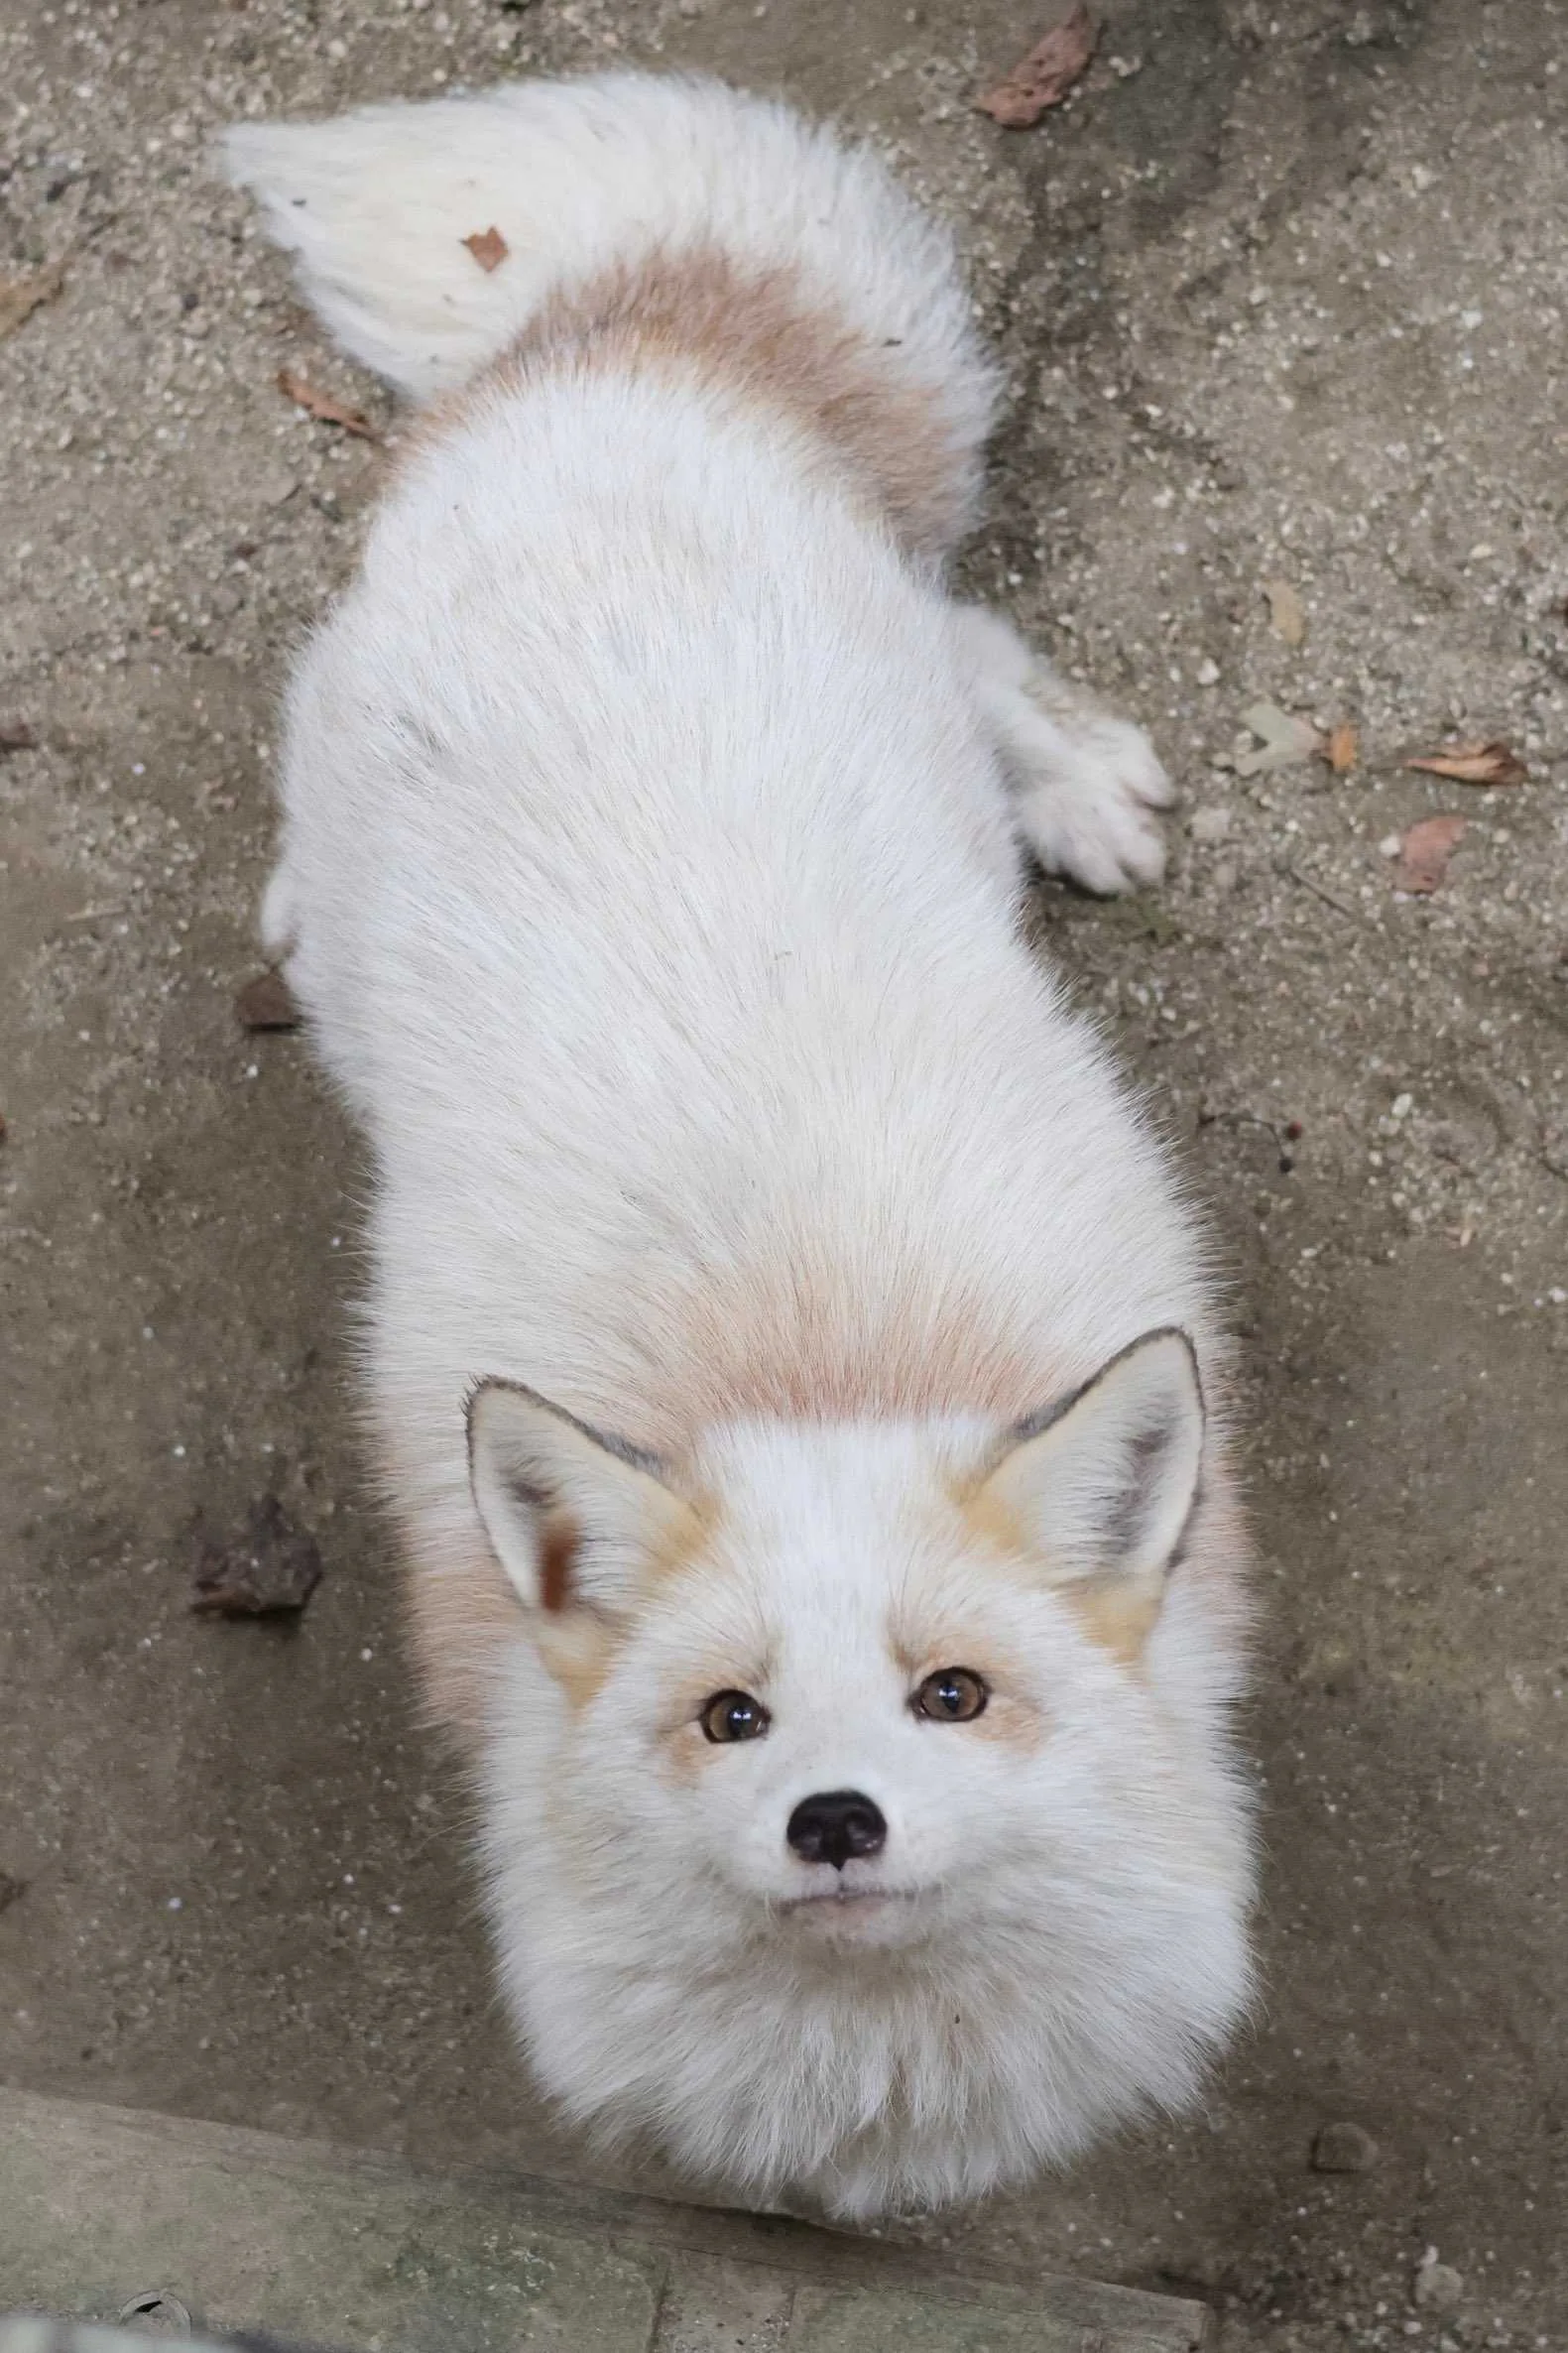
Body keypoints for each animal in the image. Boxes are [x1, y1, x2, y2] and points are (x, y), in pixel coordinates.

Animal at [222, 68, 1254, 2220]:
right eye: (732, 1715)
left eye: (953, 1692)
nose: (837, 1818)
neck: (813, 1369)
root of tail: (614, 357)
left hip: (895, 671)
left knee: (975, 633)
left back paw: (1079, 786)